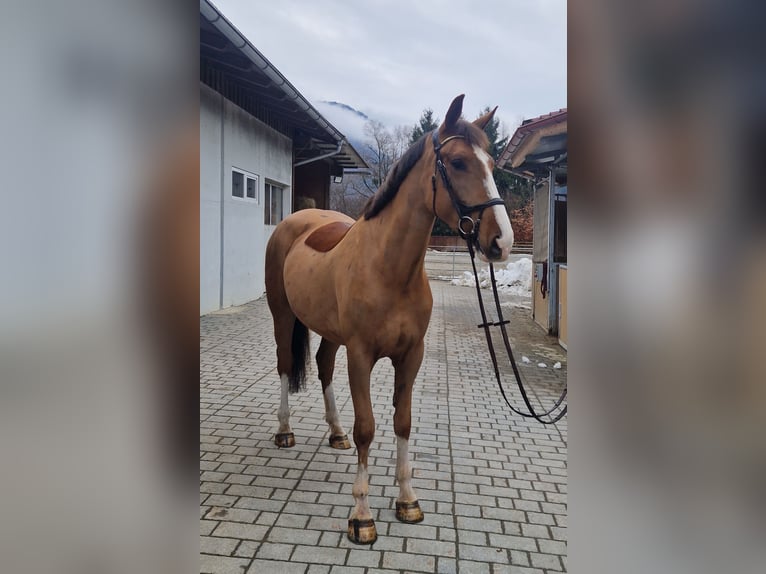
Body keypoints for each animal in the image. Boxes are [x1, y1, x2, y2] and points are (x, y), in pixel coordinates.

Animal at [264, 95, 514, 544]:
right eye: (457, 162)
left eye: (491, 162)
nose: (502, 241)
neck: (389, 268)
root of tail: (296, 220)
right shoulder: (361, 355)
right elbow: (367, 427)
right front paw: (362, 516)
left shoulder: (410, 356)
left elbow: (403, 422)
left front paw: (407, 500)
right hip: (283, 316)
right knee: (284, 365)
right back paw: (284, 431)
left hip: (331, 333)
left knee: (324, 367)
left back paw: (335, 433)